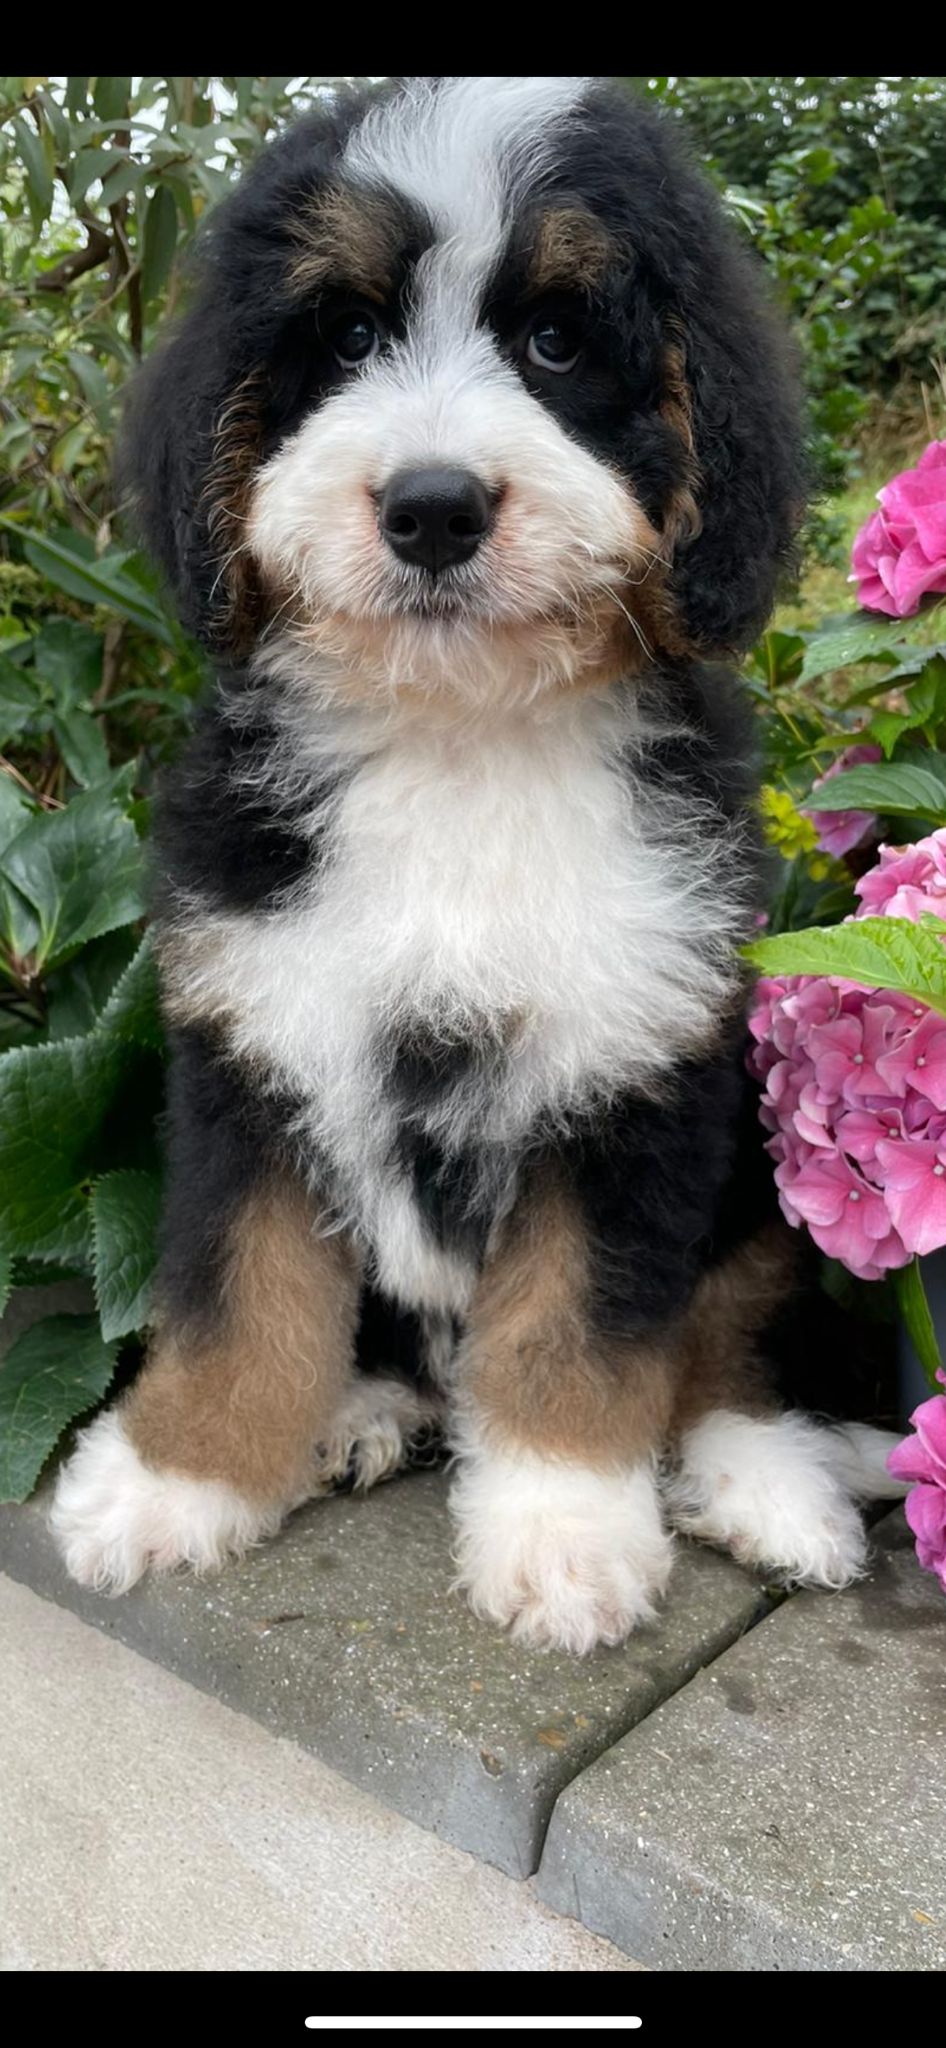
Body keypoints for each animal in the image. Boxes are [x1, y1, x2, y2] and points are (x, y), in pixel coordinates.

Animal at [46, 72, 900, 1654]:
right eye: (347, 335)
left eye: (557, 339)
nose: (432, 506)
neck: (459, 742)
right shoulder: (253, 1037)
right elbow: (234, 1291)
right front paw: (175, 1480)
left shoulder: (631, 1067)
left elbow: (582, 1330)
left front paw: (563, 1534)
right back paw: (360, 1414)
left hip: (761, 1156)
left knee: (730, 1346)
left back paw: (769, 1493)